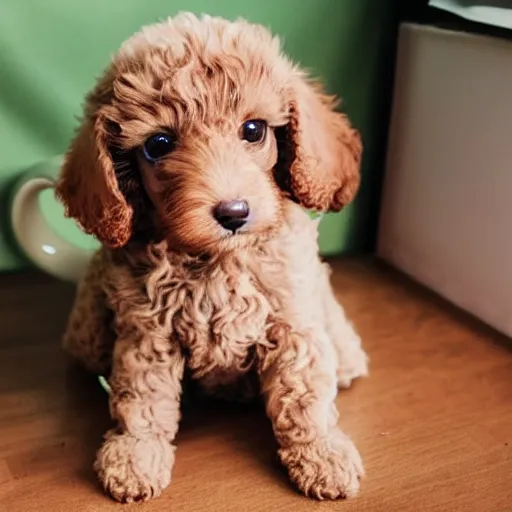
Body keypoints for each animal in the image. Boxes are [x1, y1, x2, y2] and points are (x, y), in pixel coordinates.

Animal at [55, 12, 368, 504]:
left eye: (254, 130)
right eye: (158, 144)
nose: (233, 213)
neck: (219, 260)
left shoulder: (292, 318)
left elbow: (304, 394)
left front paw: (322, 454)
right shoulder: (147, 332)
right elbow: (144, 398)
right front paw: (136, 454)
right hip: (90, 328)